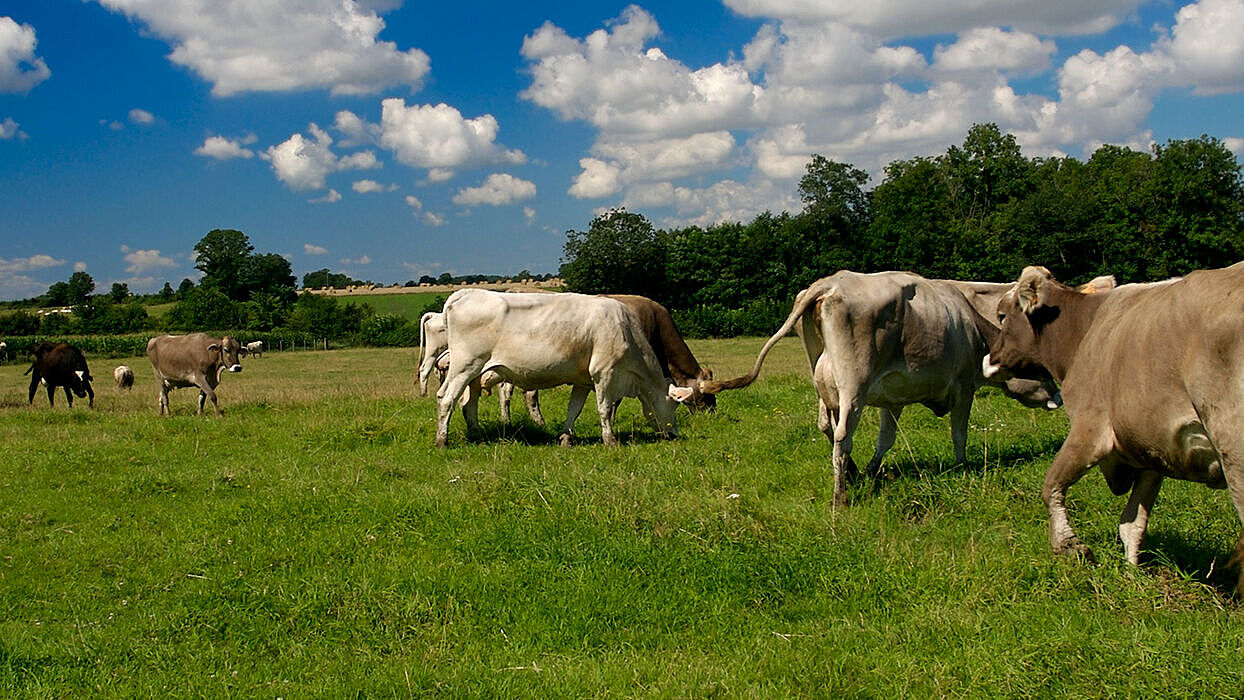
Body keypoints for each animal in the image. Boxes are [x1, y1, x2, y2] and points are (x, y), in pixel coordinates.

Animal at [437, 290, 696, 450]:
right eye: (675, 404)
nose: (675, 434)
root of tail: (465, 293)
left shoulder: (583, 381)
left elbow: (574, 409)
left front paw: (565, 438)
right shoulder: (605, 373)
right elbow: (604, 408)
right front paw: (610, 440)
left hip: (474, 373)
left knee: (467, 402)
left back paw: (477, 435)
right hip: (465, 366)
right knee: (447, 399)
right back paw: (442, 441)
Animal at [701, 271, 1059, 507]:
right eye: (1040, 364)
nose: (1059, 396)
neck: (972, 322)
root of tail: (831, 282)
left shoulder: (893, 396)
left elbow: (885, 438)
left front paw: (872, 471)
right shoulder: (964, 386)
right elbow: (960, 433)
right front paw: (963, 467)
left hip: (825, 385)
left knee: (826, 426)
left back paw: (852, 472)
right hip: (854, 387)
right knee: (842, 435)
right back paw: (840, 497)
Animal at [980, 263, 1244, 591]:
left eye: (1002, 315)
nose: (988, 360)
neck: (1082, 332)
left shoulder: (1090, 427)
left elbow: (1050, 485)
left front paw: (1070, 547)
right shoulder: (1149, 450)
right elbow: (1132, 524)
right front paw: (1132, 577)